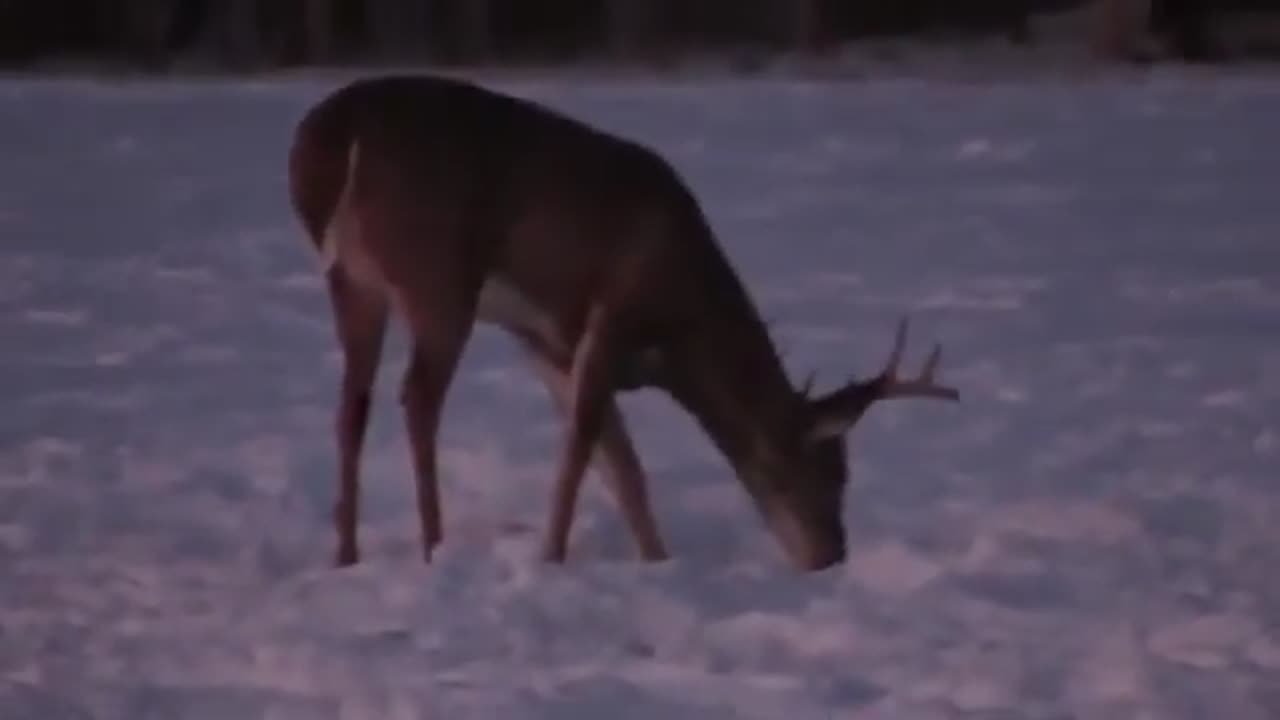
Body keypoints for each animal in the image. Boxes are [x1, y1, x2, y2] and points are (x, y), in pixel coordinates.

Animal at [285, 71, 957, 566]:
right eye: (830, 473)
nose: (831, 558)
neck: (682, 335)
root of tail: (330, 138)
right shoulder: (614, 311)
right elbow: (584, 447)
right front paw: (552, 557)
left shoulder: (544, 338)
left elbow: (624, 463)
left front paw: (655, 561)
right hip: (438, 277)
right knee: (417, 399)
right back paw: (434, 546)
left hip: (352, 282)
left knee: (353, 404)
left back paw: (346, 553)